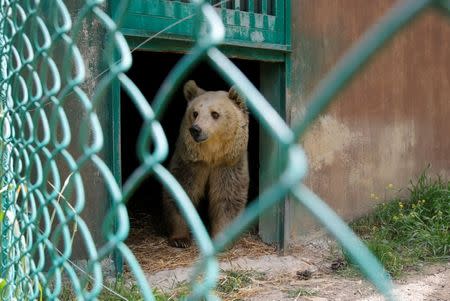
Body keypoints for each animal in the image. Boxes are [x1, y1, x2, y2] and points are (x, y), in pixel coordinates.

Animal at [163, 79, 250, 246]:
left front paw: (221, 238)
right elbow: (183, 189)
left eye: (215, 113)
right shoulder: (191, 163)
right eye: (195, 113)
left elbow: (227, 198)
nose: (196, 129)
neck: (211, 157)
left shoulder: (228, 165)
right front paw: (180, 239)